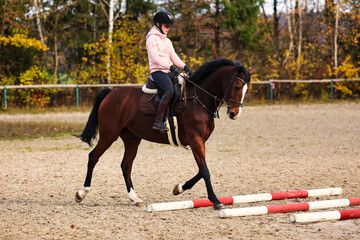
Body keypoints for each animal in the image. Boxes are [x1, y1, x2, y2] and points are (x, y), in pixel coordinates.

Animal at [75, 58, 256, 210]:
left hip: (132, 139)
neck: (198, 98)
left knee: (125, 165)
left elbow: (201, 169)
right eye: (237, 87)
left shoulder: (200, 142)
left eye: (246, 89)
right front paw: (216, 201)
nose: (234, 114)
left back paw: (135, 198)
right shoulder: (195, 140)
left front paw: (179, 188)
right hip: (109, 135)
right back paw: (81, 193)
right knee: (93, 157)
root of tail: (111, 93)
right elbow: (205, 171)